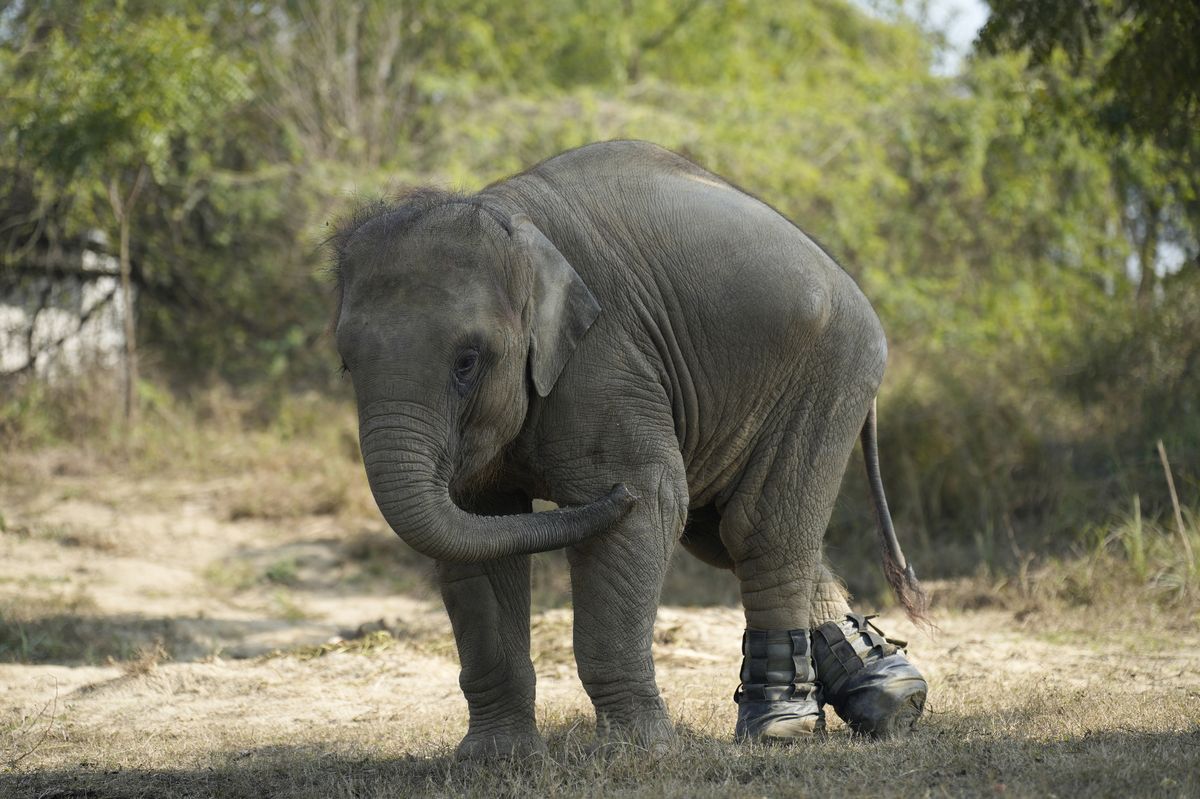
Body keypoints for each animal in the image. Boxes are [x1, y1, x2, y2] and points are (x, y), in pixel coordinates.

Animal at [330, 140, 928, 757]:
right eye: (346, 364)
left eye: (466, 362)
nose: (614, 498)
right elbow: (479, 529)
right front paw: (494, 758)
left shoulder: (606, 360)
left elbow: (648, 502)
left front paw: (639, 752)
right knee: (723, 534)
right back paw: (891, 693)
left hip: (826, 374)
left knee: (759, 531)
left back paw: (781, 726)